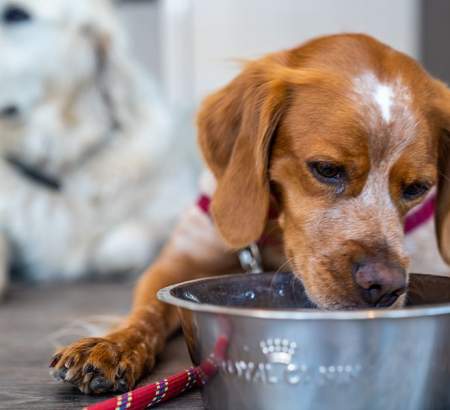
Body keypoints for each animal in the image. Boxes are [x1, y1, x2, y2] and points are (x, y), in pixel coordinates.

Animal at [49, 34, 450, 394]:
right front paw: (111, 346)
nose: (385, 286)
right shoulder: (178, 263)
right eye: (326, 169)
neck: (273, 232)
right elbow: (145, 314)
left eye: (417, 188)